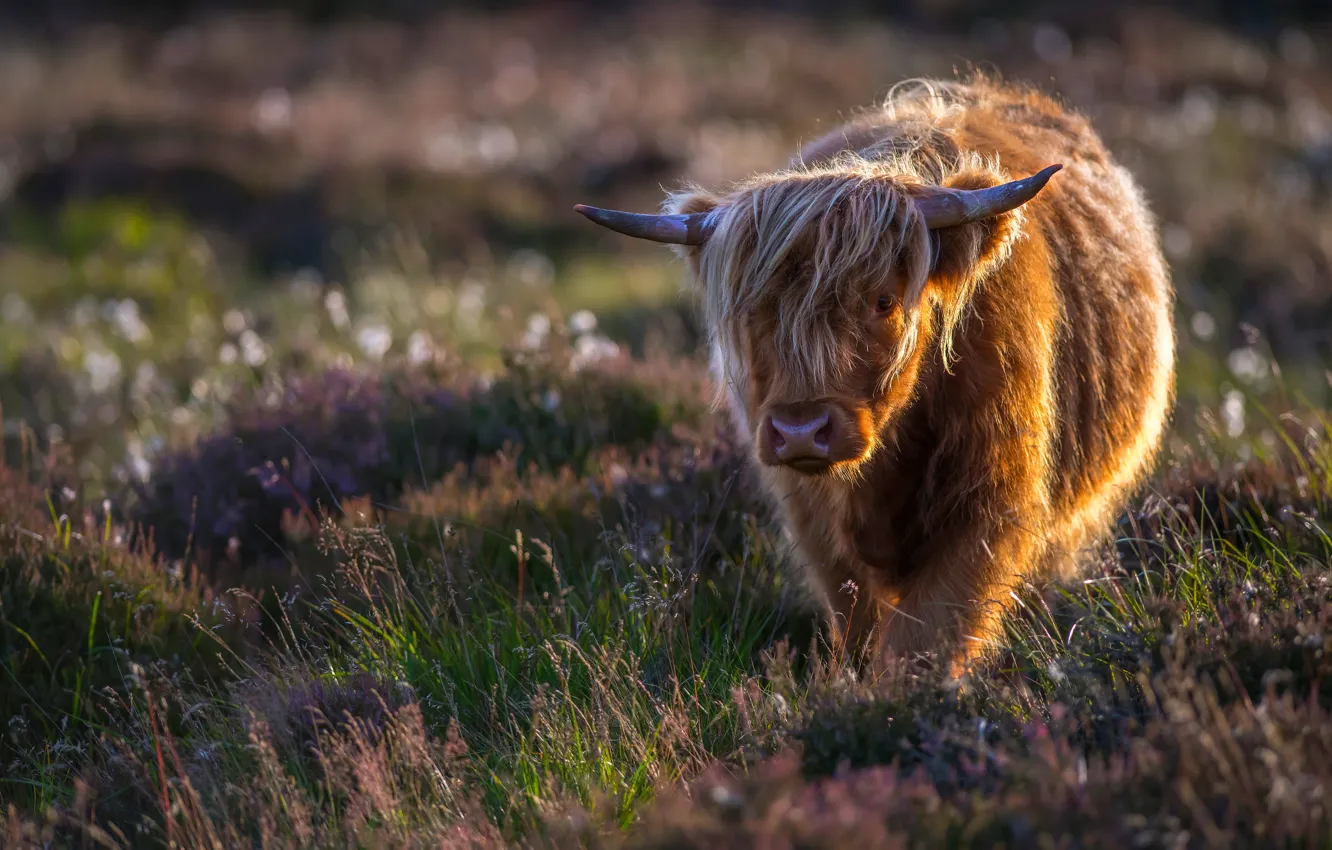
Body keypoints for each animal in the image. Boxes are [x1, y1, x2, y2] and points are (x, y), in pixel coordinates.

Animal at [574, 76, 1176, 677]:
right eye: (752, 309)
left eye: (884, 300)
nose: (800, 431)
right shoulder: (812, 519)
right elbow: (858, 622)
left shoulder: (987, 503)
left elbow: (925, 638)